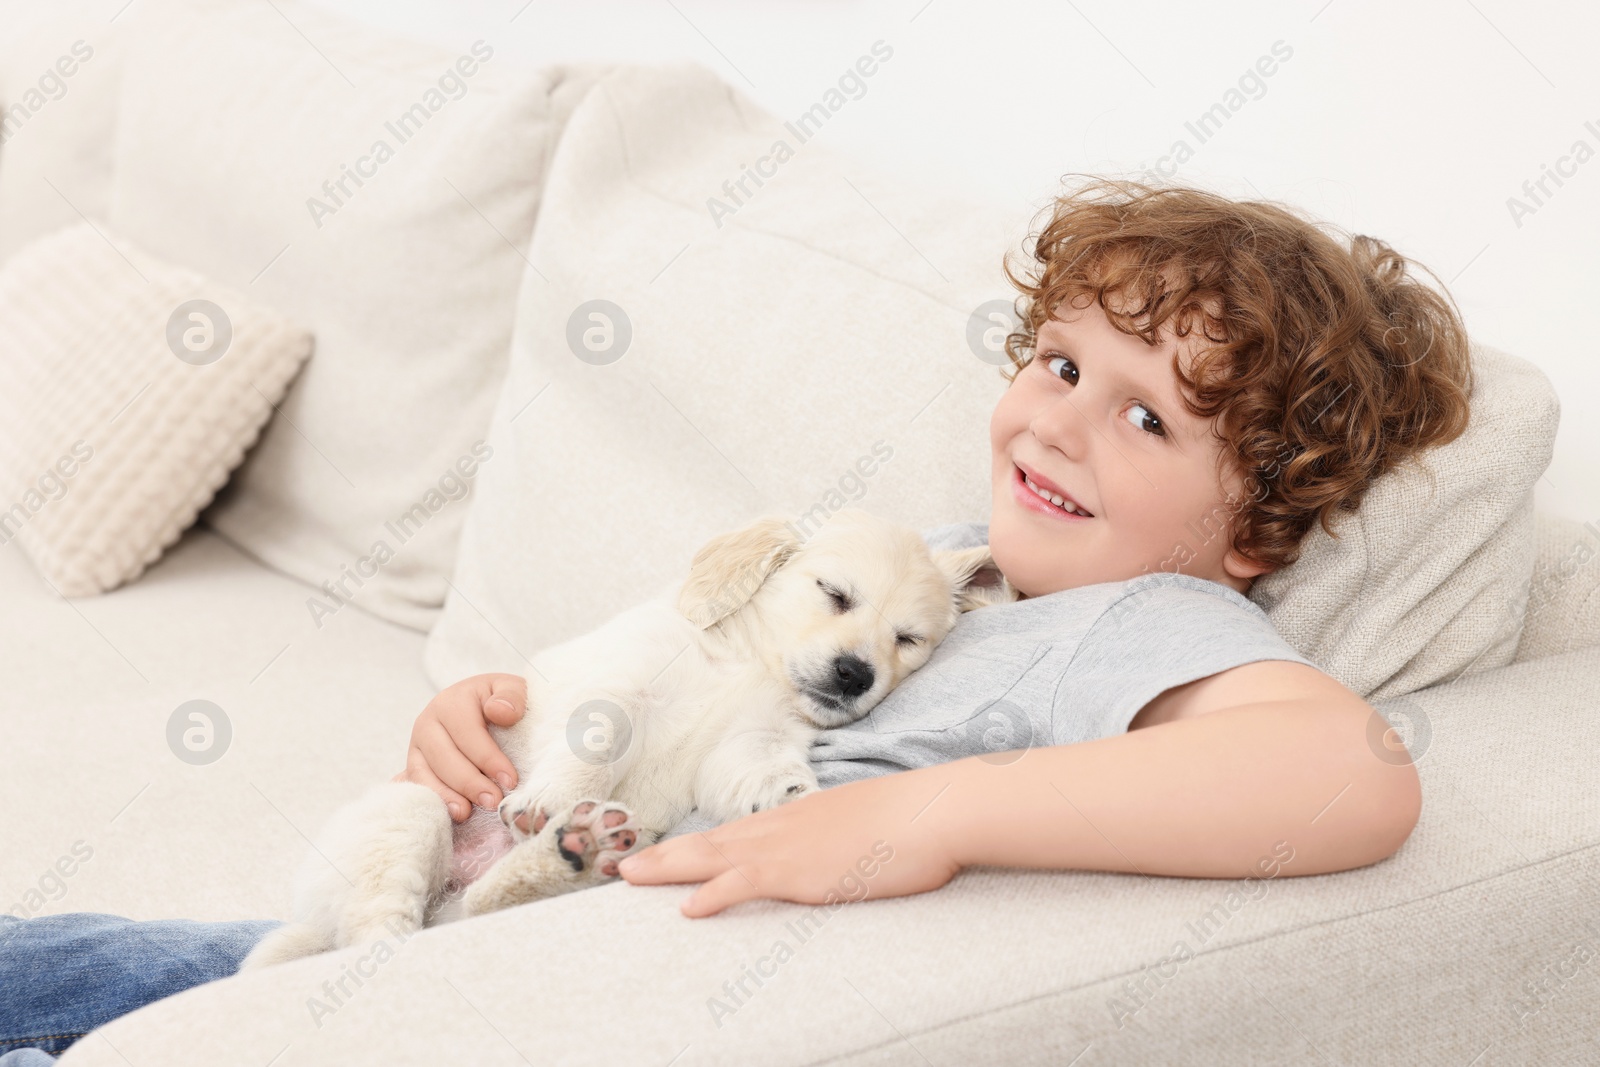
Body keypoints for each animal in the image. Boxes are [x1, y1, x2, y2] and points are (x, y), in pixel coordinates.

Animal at [236, 508, 1011, 966]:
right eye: (835, 594)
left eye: (908, 640)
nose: (855, 675)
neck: (750, 665)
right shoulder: (619, 684)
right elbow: (602, 737)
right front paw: (552, 796)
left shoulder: (749, 739)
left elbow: (757, 767)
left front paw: (793, 799)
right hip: (411, 812)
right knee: (378, 930)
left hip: (493, 887)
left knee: (474, 911)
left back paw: (571, 852)